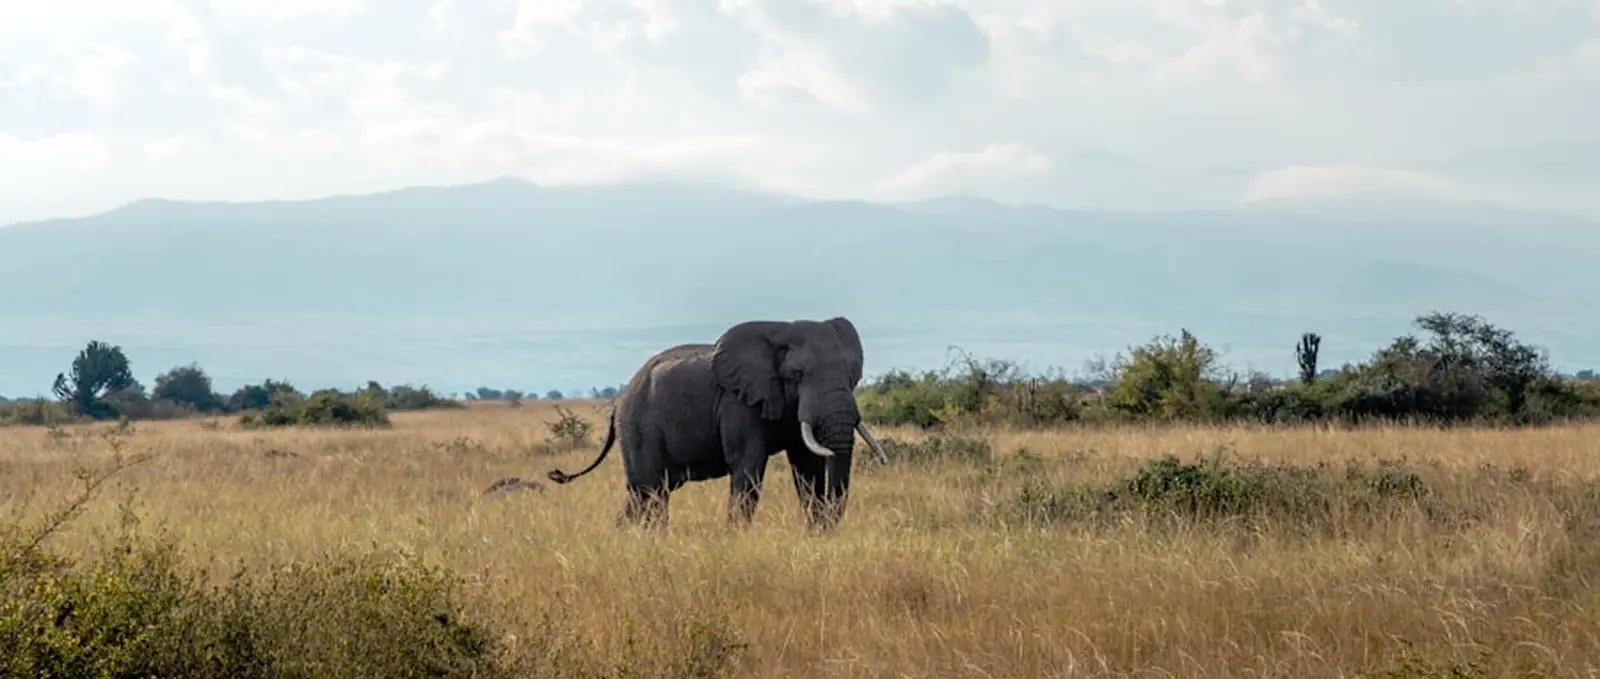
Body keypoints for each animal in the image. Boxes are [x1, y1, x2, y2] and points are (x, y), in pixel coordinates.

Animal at [545, 316, 890, 531]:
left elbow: (808, 467)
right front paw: (737, 537)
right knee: (650, 491)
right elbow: (748, 466)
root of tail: (618, 402)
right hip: (638, 428)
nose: (827, 529)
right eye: (798, 375)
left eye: (853, 375)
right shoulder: (738, 402)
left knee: (643, 494)